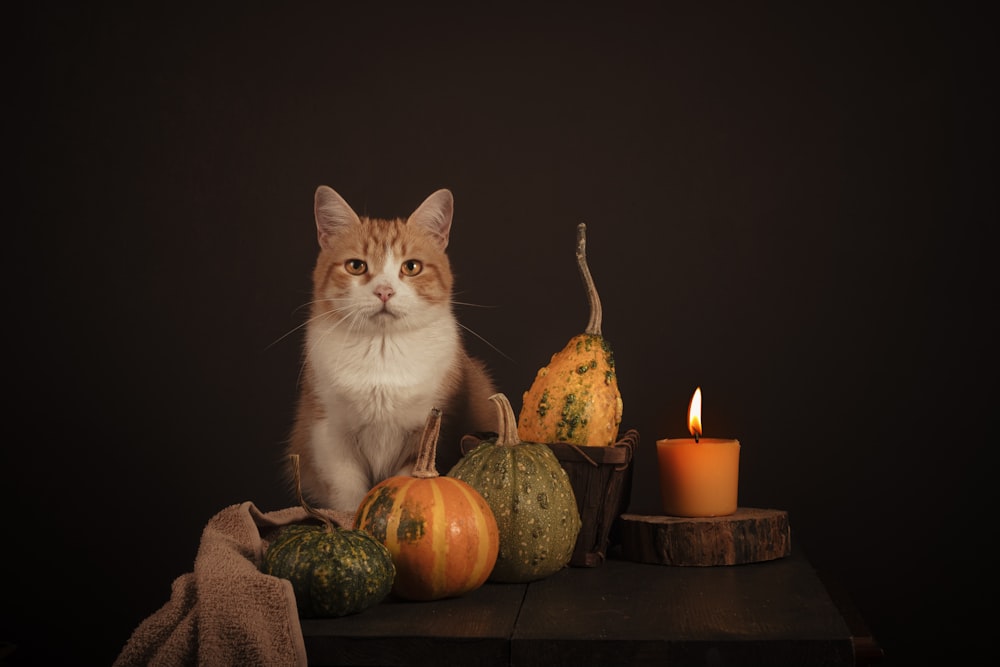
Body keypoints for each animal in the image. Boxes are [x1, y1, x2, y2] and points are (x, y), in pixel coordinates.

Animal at [288, 185, 498, 516]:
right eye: (356, 266)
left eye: (411, 267)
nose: (384, 291)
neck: (382, 350)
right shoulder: (329, 435)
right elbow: (347, 495)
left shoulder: (427, 433)